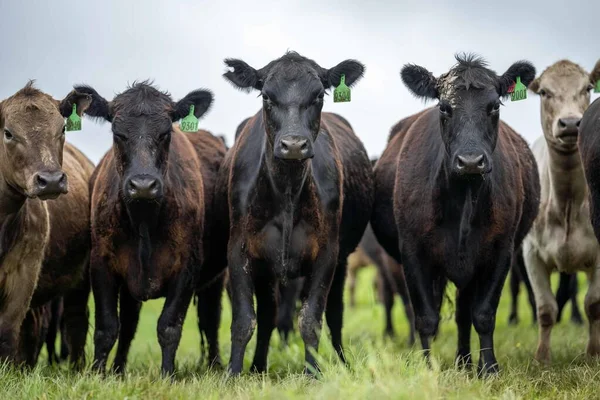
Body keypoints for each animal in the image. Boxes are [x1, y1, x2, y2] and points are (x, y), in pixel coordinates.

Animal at [78, 82, 229, 378]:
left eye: (165, 133)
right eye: (117, 133)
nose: (143, 185)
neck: (144, 222)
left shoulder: (187, 268)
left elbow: (169, 326)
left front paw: (167, 375)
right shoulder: (101, 264)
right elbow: (107, 328)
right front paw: (99, 374)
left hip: (216, 277)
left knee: (210, 318)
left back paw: (216, 365)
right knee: (128, 324)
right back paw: (118, 370)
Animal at [218, 50, 372, 376]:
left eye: (319, 95)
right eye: (266, 96)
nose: (293, 145)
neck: (287, 190)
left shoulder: (327, 253)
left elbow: (311, 320)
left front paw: (313, 374)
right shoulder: (239, 250)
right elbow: (243, 320)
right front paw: (233, 373)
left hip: (342, 261)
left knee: (335, 314)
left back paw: (341, 361)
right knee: (268, 315)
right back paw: (257, 367)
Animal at [370, 54, 540, 376]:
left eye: (495, 106)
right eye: (444, 107)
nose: (470, 161)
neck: (463, 200)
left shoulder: (501, 251)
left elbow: (483, 314)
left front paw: (490, 369)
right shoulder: (412, 252)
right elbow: (425, 316)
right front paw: (428, 367)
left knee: (463, 314)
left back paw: (464, 362)